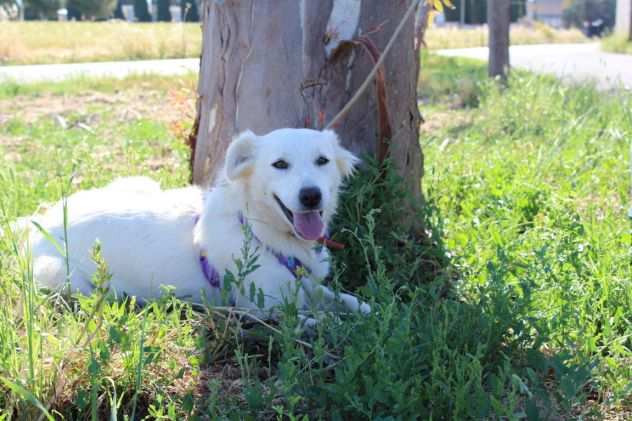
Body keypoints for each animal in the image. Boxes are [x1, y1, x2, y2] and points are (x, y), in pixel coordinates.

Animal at [18, 130, 370, 316]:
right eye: (280, 164)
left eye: (322, 161)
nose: (311, 196)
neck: (257, 231)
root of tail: (43, 220)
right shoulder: (266, 309)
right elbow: (320, 320)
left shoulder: (306, 284)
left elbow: (348, 300)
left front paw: (372, 310)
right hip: (65, 278)